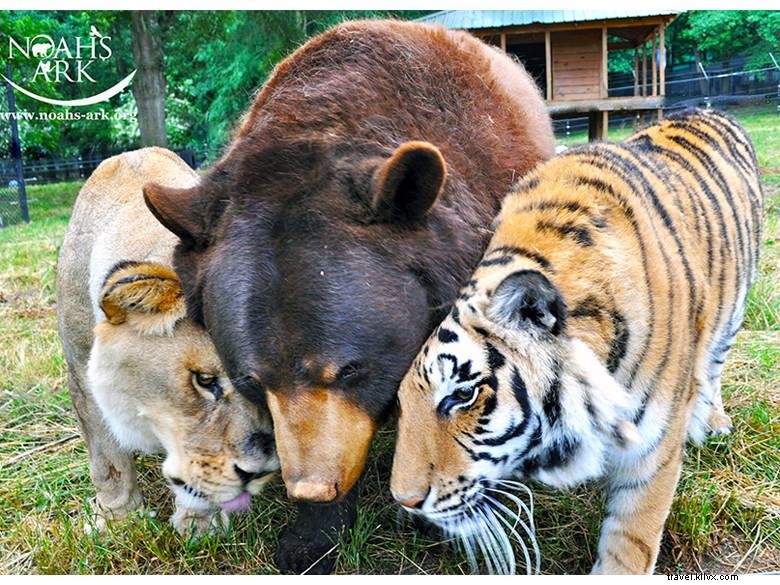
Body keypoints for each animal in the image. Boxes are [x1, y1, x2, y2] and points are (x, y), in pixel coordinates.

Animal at [388, 107, 760, 572]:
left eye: (462, 395)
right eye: (402, 402)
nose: (405, 502)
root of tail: (708, 108)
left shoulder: (653, 449)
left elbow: (630, 540)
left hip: (733, 313)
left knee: (712, 367)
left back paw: (712, 421)